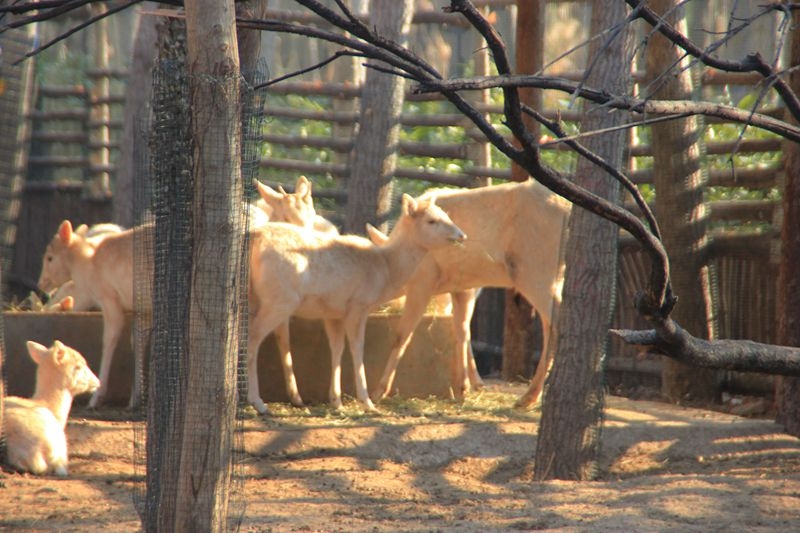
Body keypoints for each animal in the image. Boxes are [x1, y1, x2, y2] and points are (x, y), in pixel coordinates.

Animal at [247, 192, 466, 412]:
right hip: (280, 299)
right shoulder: (358, 305)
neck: (386, 271)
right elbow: (357, 348)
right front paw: (367, 402)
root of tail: (255, 240)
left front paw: (336, 401)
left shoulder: (333, 313)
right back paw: (258, 402)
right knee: (253, 336)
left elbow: (337, 348)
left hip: (257, 297)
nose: (461, 235)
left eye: (446, 214)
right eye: (431, 220)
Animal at [368, 179, 568, 408]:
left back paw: (531, 396)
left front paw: (379, 391)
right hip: (550, 278)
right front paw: (464, 388)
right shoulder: (461, 286)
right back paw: (529, 396)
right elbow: (462, 331)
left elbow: (402, 335)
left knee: (555, 323)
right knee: (549, 325)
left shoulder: (424, 283)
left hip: (535, 273)